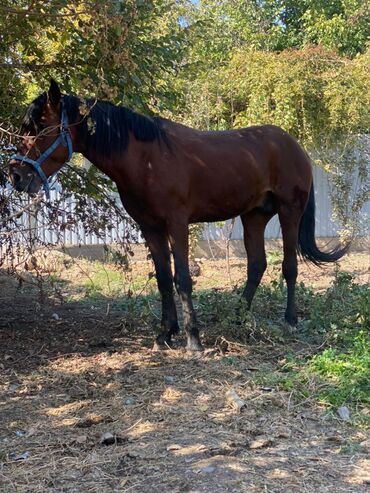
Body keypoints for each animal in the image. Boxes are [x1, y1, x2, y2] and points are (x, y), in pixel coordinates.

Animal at [9, 80, 350, 350]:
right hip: (253, 216)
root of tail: (294, 145)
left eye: (40, 128)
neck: (146, 158)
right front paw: (165, 334)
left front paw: (193, 339)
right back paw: (237, 319)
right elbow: (163, 279)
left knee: (290, 267)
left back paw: (290, 320)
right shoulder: (150, 228)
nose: (15, 175)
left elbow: (183, 278)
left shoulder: (177, 224)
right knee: (256, 266)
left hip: (290, 211)